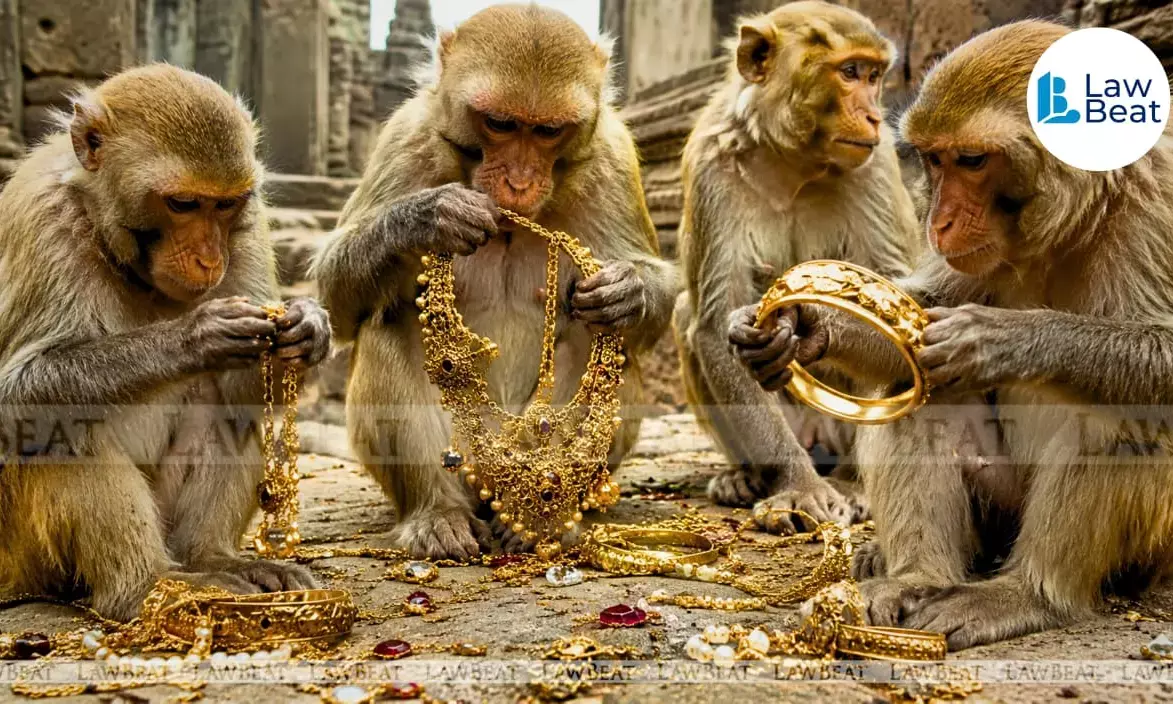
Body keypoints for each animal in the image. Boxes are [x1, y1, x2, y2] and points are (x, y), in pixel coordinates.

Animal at [0, 64, 333, 621]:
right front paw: (197, 336)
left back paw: (214, 558)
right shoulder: (42, 221)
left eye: (225, 204)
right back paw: (145, 587)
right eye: (182, 204)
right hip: (29, 554)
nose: (208, 259)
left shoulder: (247, 228)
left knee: (227, 403)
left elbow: (249, 383)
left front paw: (307, 328)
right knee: (62, 420)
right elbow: (14, 396)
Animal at [311, 5, 678, 561]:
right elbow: (336, 297)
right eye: (501, 124)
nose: (519, 183)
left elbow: (651, 304)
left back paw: (542, 517)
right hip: (465, 459)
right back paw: (437, 514)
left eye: (548, 131)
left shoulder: (614, 157)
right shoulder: (406, 137)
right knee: (384, 324)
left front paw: (625, 292)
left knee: (602, 344)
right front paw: (429, 217)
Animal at [672, 1, 920, 533]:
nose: (875, 115)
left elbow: (893, 304)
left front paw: (809, 328)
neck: (793, 163)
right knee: (684, 311)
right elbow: (714, 321)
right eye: (850, 72)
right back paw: (744, 477)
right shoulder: (710, 163)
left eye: (874, 75)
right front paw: (798, 486)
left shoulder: (875, 165)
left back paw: (854, 482)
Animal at [730, 20, 1173, 648]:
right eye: (936, 162)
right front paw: (801, 328)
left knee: (1117, 407)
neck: (1065, 228)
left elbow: (1160, 356)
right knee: (915, 390)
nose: (937, 221)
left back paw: (1029, 594)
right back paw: (914, 579)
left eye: (972, 159)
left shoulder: (1158, 208)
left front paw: (999, 340)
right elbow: (920, 318)